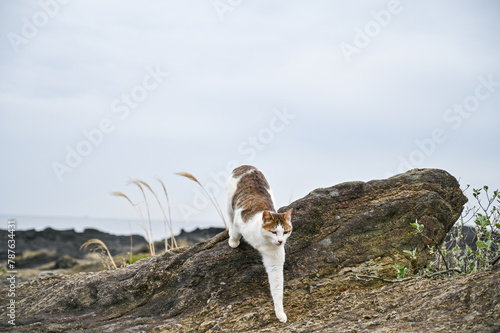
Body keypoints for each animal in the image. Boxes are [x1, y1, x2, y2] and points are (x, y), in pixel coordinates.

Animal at [227, 165, 292, 322]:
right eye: (274, 232)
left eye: (285, 232)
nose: (281, 241)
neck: (263, 241)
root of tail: (246, 166)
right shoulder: (239, 222)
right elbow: (236, 231)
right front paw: (233, 241)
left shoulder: (275, 261)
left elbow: (277, 288)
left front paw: (280, 313)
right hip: (228, 203)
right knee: (230, 217)